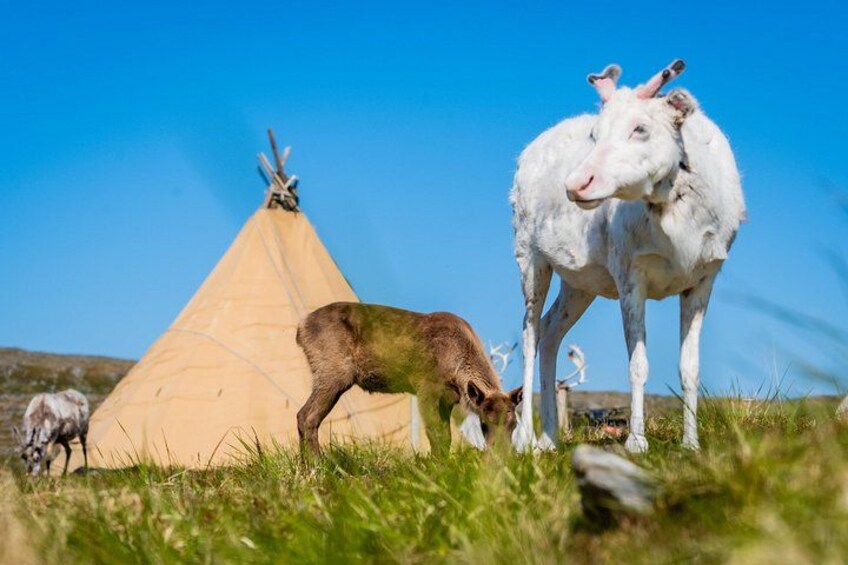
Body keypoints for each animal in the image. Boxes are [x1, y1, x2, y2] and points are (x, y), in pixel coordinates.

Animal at [296, 302, 523, 457]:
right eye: (484, 423)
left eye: (514, 424)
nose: (504, 453)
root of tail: (300, 328)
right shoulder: (426, 388)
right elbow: (437, 436)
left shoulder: (448, 398)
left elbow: (446, 437)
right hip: (333, 371)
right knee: (307, 416)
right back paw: (317, 466)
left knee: (303, 415)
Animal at [511, 60, 745, 453]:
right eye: (595, 133)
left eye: (641, 128)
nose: (576, 183)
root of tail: (527, 151)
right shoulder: (629, 274)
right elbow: (638, 364)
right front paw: (637, 441)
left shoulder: (703, 278)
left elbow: (690, 367)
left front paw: (691, 444)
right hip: (529, 255)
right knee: (529, 332)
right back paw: (524, 437)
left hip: (580, 283)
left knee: (551, 328)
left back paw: (551, 438)